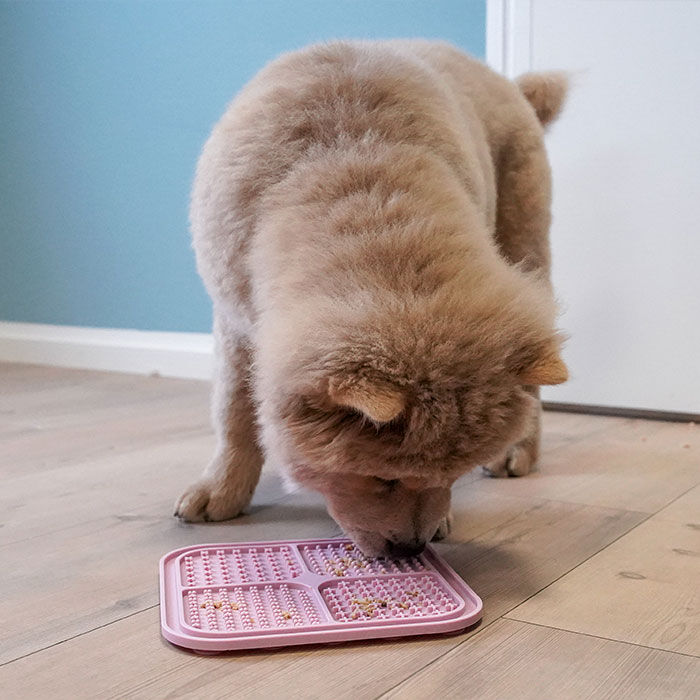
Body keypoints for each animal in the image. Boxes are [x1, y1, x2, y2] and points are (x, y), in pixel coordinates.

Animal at [174, 40, 568, 557]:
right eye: (382, 479)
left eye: (449, 475)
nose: (412, 548)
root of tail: (510, 85)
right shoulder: (237, 317)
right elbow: (235, 414)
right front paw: (220, 490)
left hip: (525, 240)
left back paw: (518, 451)